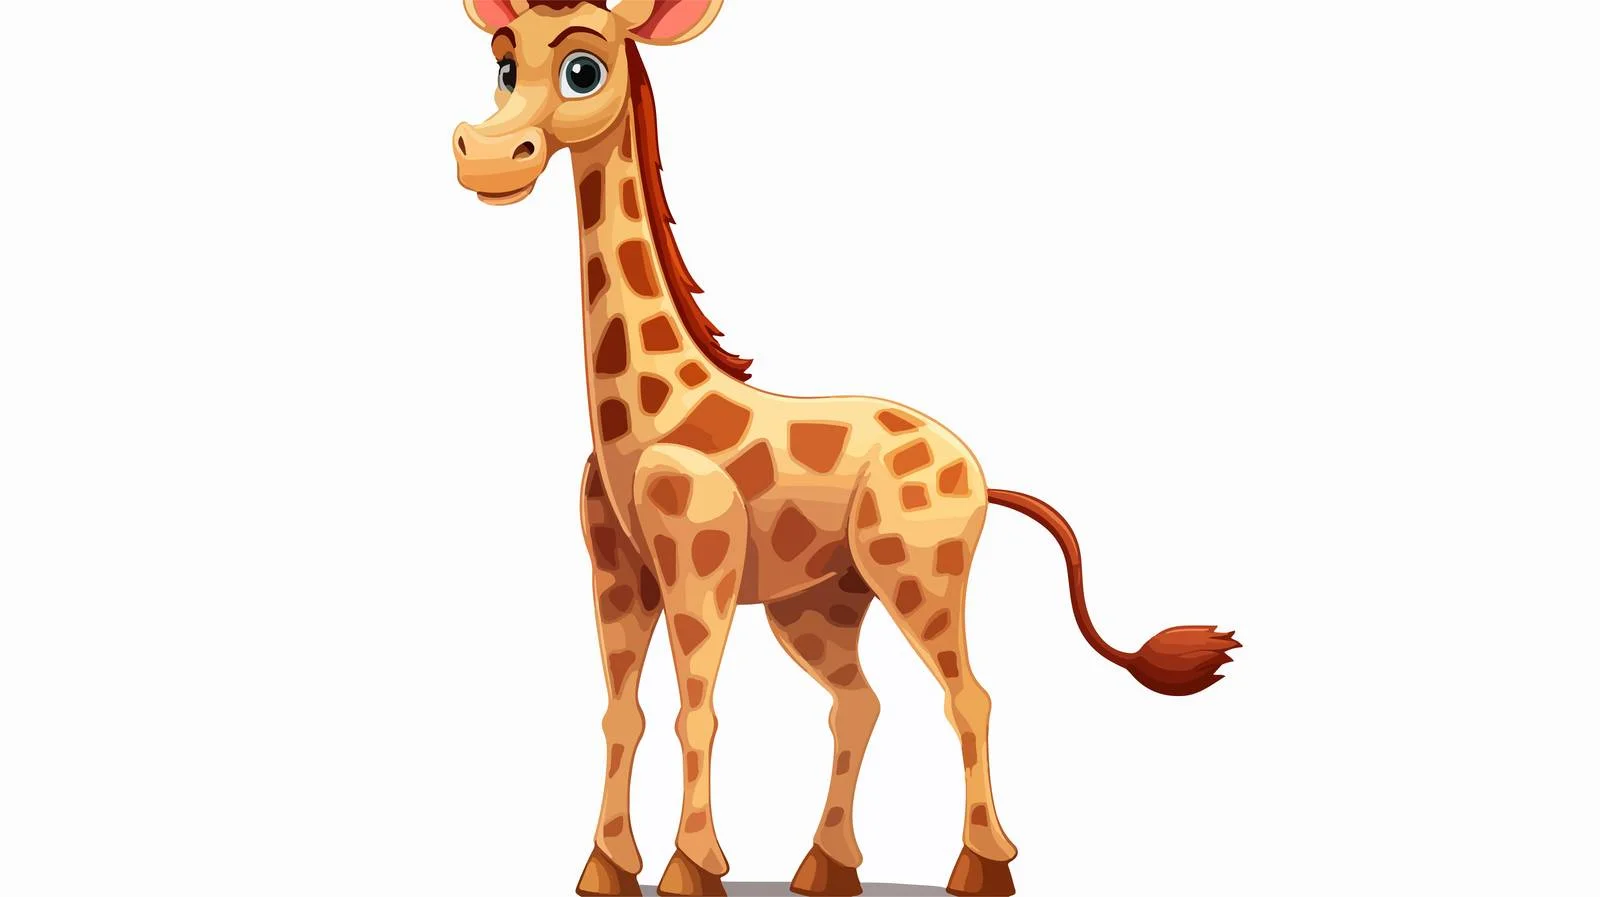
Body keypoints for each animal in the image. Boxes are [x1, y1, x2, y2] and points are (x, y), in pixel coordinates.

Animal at [451, 3, 1240, 896]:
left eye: (583, 69)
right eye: (504, 65)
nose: (485, 158)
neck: (645, 417)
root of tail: (982, 474)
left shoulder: (701, 563)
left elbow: (697, 708)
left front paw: (694, 864)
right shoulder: (616, 569)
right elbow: (625, 711)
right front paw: (607, 866)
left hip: (920, 575)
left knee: (970, 695)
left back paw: (981, 863)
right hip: (819, 604)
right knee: (859, 701)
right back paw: (827, 865)